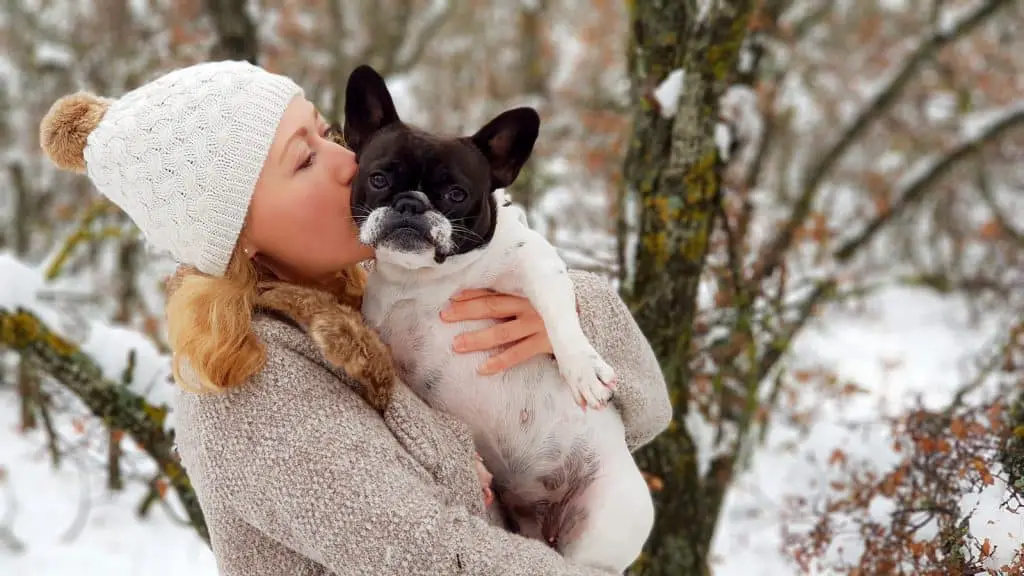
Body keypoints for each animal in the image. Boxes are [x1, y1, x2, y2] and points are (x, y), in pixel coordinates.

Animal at [339, 63, 651, 569]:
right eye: (380, 179)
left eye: (455, 193)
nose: (410, 204)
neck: (424, 280)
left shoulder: (536, 264)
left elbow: (558, 315)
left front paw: (583, 370)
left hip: (601, 518)